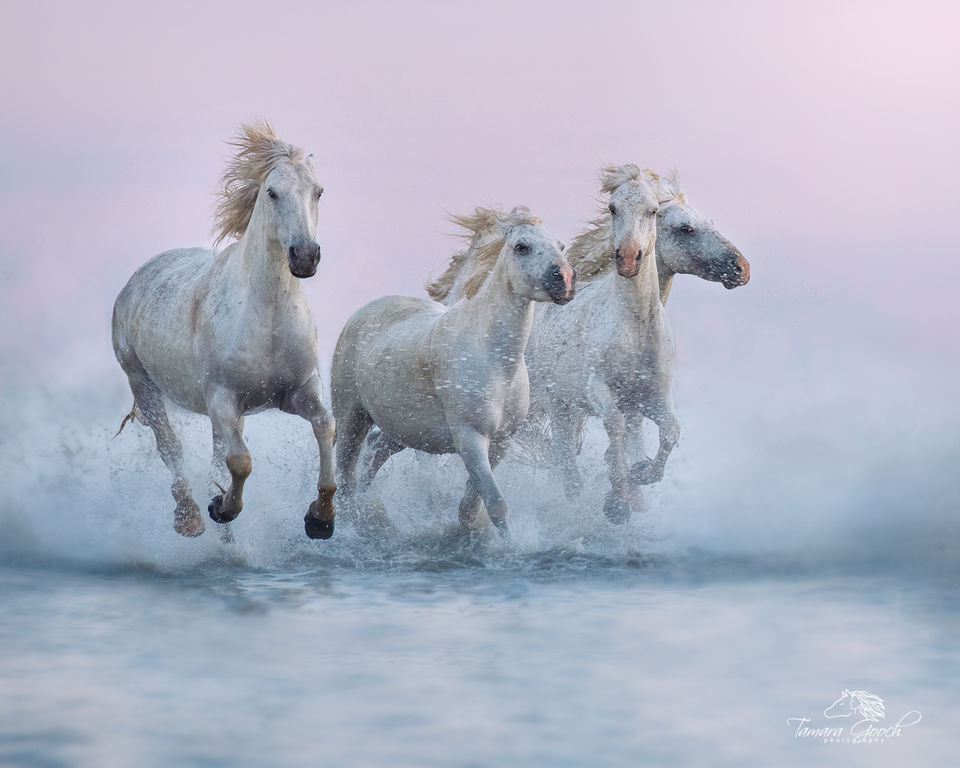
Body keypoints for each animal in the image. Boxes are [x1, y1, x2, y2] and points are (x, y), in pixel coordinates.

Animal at [111, 121, 338, 540]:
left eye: (318, 191)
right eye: (272, 192)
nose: (304, 257)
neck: (267, 317)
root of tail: (137, 278)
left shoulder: (298, 392)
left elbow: (325, 427)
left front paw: (320, 518)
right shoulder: (222, 399)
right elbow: (241, 461)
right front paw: (222, 508)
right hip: (141, 381)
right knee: (171, 448)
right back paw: (190, 518)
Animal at [332, 210, 568, 536]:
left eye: (561, 246)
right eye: (522, 246)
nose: (565, 280)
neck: (493, 358)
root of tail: (362, 313)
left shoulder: (501, 443)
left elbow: (473, 502)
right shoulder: (470, 438)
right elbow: (495, 503)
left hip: (402, 431)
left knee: (374, 453)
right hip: (350, 419)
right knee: (345, 479)